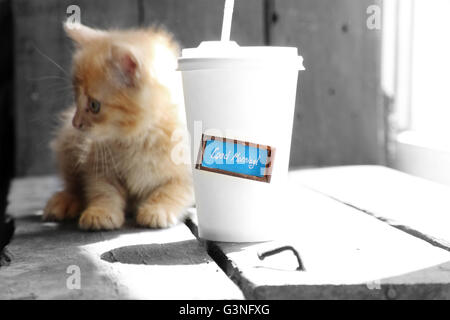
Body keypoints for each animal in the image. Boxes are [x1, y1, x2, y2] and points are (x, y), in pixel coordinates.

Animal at [42, 23, 195, 230]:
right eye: (76, 98)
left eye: (94, 105)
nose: (76, 123)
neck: (139, 138)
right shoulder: (96, 162)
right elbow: (103, 190)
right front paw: (100, 212)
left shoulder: (189, 172)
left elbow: (173, 189)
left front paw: (158, 210)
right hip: (69, 142)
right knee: (72, 184)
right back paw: (65, 201)